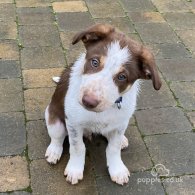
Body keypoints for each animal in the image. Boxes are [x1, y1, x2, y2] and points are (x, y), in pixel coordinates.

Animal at [44, 23, 161, 185]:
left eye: (122, 77)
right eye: (95, 62)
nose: (88, 101)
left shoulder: (121, 123)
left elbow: (113, 148)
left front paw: (117, 169)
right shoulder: (73, 122)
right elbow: (78, 147)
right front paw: (75, 169)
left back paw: (122, 140)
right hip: (53, 117)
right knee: (57, 137)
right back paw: (54, 151)